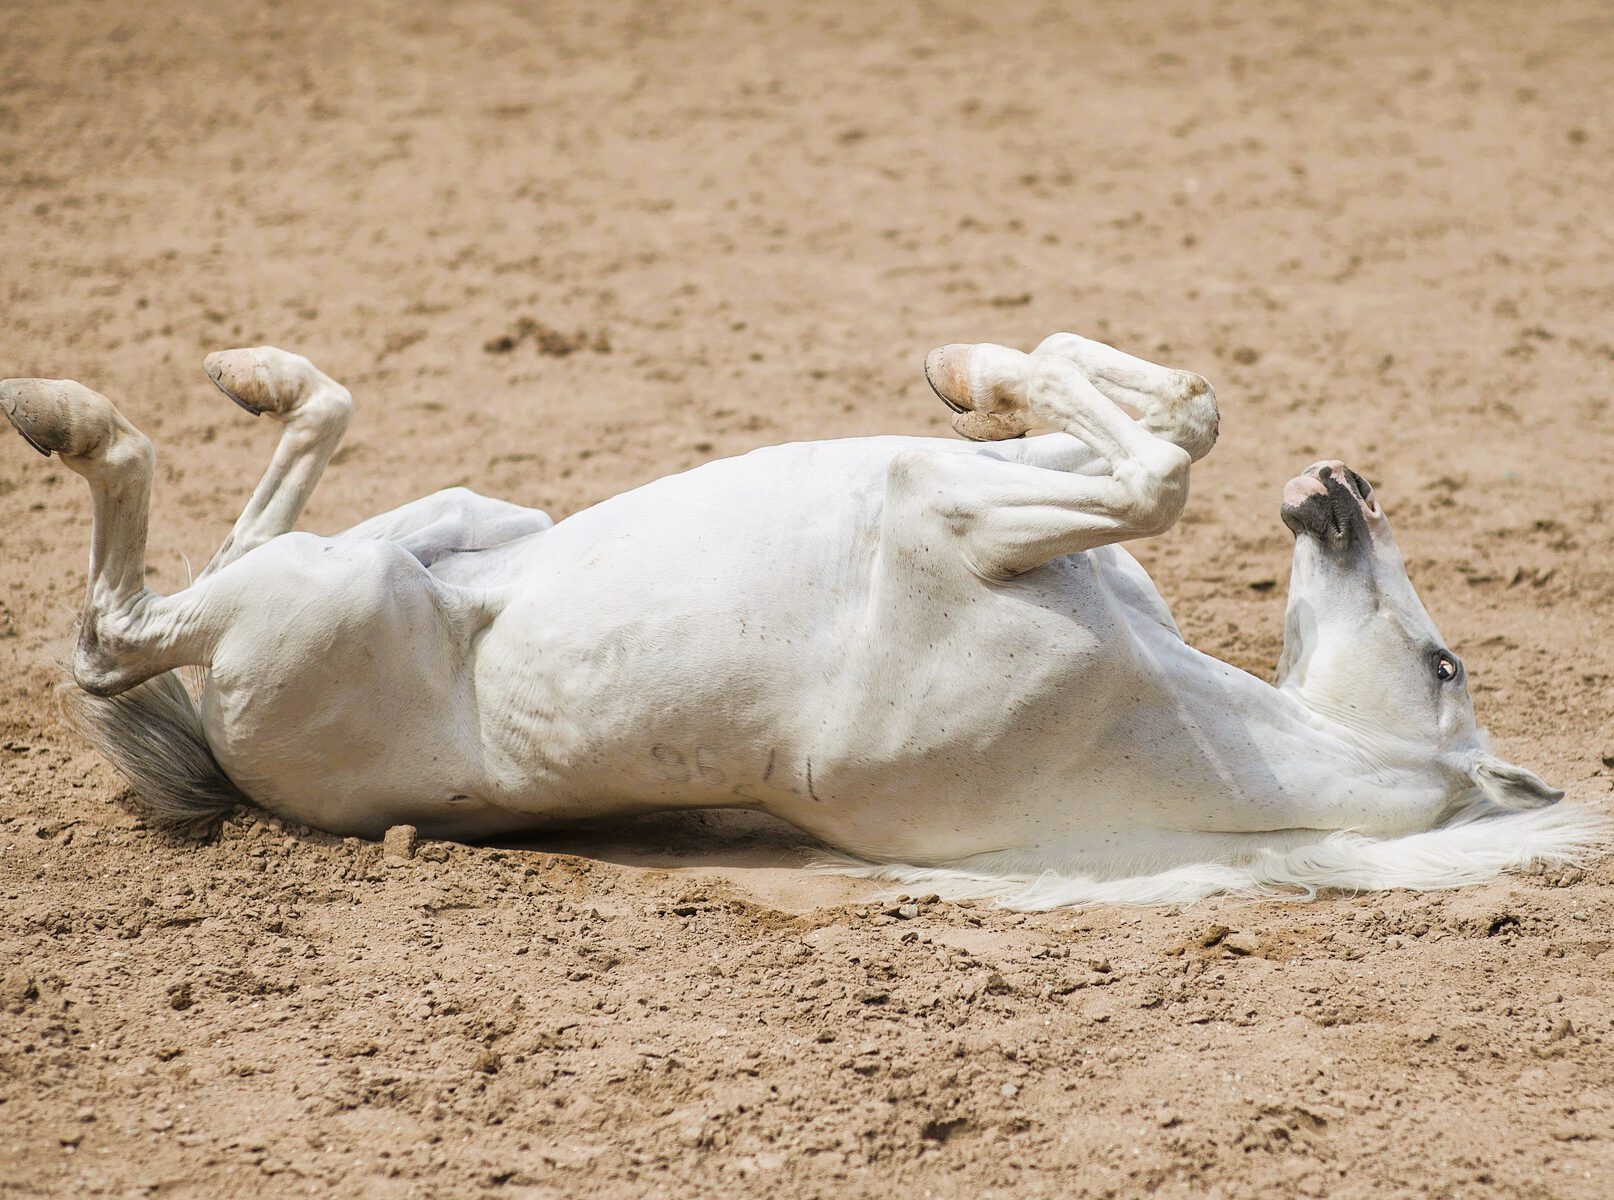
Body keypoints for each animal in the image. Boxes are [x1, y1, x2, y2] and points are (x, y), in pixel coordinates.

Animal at [6, 332, 1607, 904]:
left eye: (1444, 661)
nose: (1342, 491)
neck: (1183, 719)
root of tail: (230, 762)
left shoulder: (958, 519)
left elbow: (1157, 468)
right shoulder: (995, 497)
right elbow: (1164, 419)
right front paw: (972, 366)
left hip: (319, 597)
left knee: (116, 629)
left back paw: (64, 411)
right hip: (449, 527)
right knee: (263, 499)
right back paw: (257, 373)